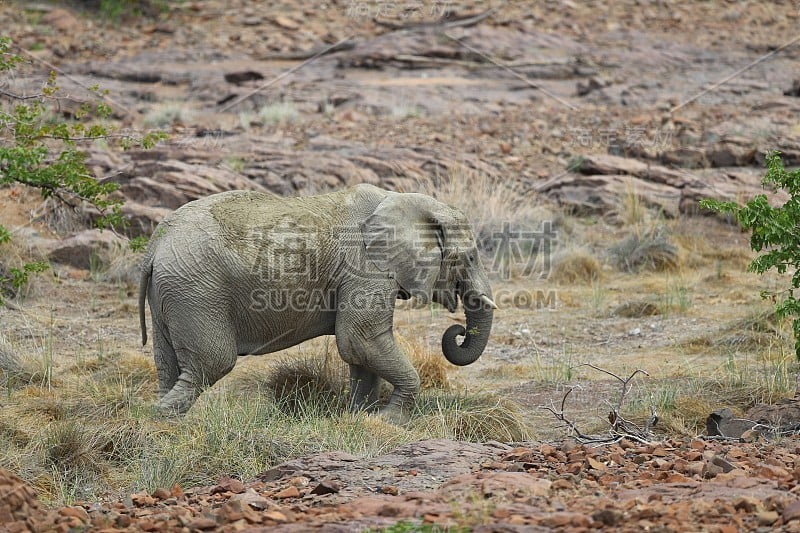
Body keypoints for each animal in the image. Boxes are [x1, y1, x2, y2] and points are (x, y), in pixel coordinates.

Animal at [141, 185, 496, 422]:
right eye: (469, 257)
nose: (456, 331)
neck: (404, 200)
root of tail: (156, 245)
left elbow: (359, 353)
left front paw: (360, 417)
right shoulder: (365, 267)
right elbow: (360, 339)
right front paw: (389, 420)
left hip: (172, 293)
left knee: (169, 364)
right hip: (197, 291)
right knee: (212, 363)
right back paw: (162, 421)